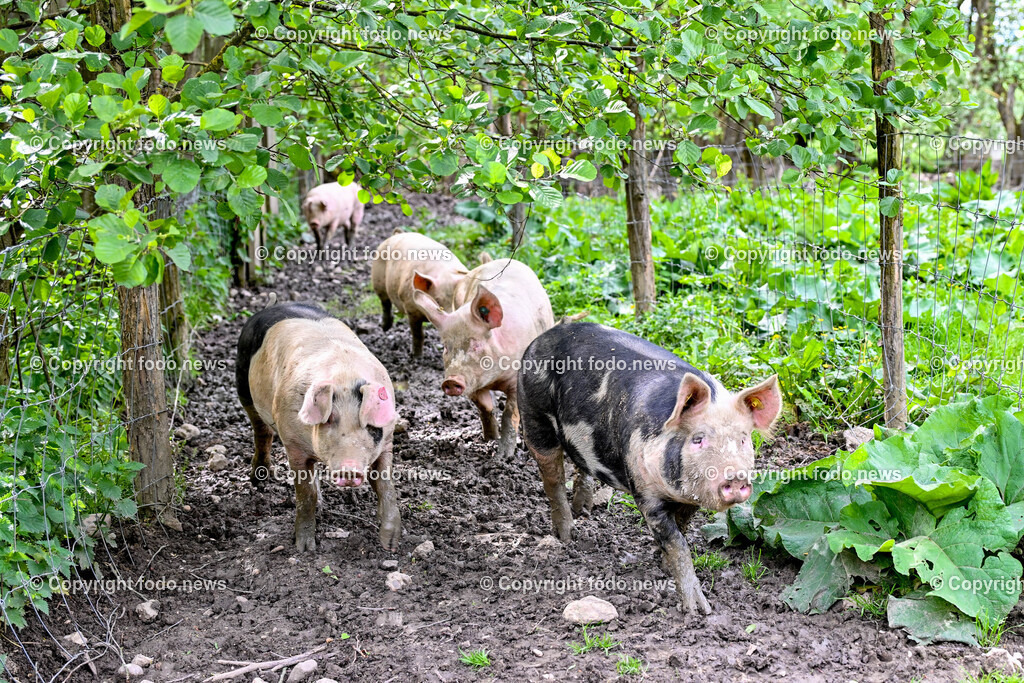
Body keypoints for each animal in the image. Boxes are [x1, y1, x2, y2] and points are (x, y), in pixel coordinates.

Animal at [236, 302, 401, 552]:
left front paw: (390, 544)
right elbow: (306, 493)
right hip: (243, 385)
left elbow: (384, 485)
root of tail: (274, 305)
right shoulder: (292, 443)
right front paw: (305, 548)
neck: (345, 377)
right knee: (261, 431)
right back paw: (259, 480)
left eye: (368, 424)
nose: (349, 469)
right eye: (330, 418)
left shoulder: (387, 439)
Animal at [413, 258, 554, 458]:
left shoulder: (516, 380)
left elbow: (510, 414)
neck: (494, 379)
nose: (451, 380)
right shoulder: (472, 381)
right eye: (446, 347)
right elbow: (484, 407)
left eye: (476, 344)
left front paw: (503, 456)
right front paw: (489, 439)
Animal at [517, 322, 781, 614]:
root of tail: (543, 337)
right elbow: (677, 542)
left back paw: (584, 509)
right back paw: (566, 536)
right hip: (534, 415)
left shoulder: (691, 499)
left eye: (743, 438)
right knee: (551, 478)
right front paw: (698, 610)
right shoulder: (645, 492)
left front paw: (663, 565)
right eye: (698, 439)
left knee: (580, 463)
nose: (734, 476)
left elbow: (682, 528)